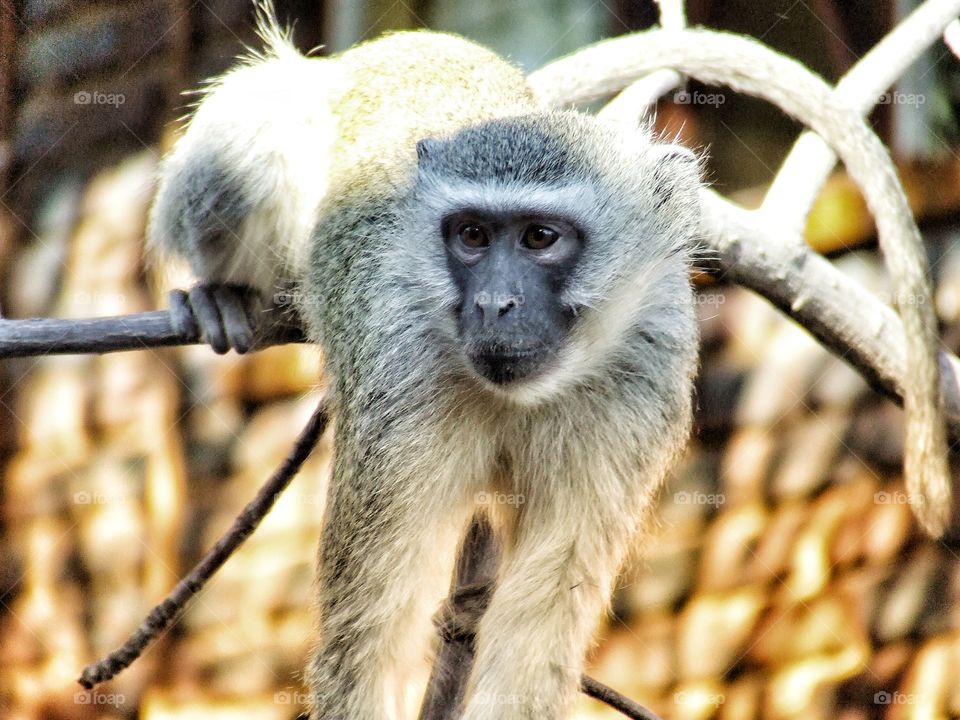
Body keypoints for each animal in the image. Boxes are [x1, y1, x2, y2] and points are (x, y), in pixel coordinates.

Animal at [148, 6, 701, 719]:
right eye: (471, 236)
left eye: (540, 237)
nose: (493, 303)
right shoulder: (397, 372)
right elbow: (369, 637)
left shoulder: (644, 374)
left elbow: (539, 629)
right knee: (254, 126)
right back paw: (221, 292)